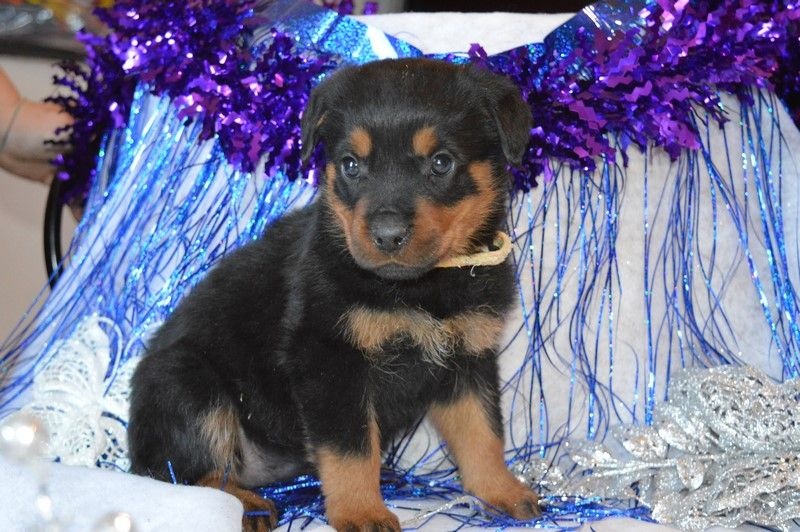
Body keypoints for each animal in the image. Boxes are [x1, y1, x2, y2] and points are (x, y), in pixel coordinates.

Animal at [128, 57, 538, 531]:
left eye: (441, 162)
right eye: (350, 164)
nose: (387, 235)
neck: (419, 287)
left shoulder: (468, 356)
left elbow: (482, 432)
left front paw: (502, 491)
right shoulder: (329, 360)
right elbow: (351, 449)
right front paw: (363, 512)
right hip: (184, 381)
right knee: (185, 476)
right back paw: (247, 506)